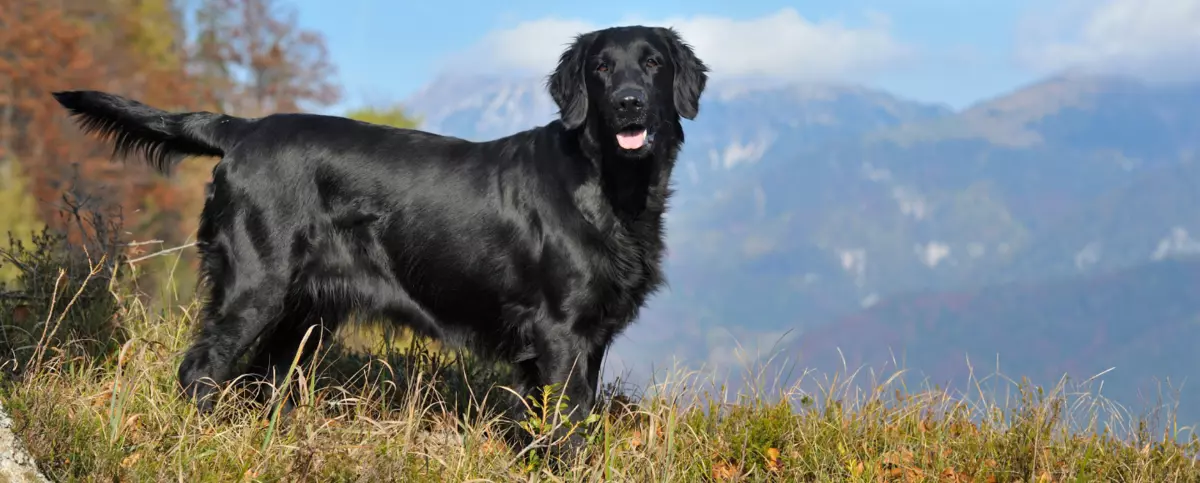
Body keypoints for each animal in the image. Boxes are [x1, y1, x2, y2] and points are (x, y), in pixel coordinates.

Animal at [56, 25, 705, 449]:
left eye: (653, 64)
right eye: (601, 67)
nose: (629, 104)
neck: (610, 186)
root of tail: (242, 130)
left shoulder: (589, 338)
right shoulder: (560, 333)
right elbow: (567, 430)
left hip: (303, 315)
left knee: (259, 380)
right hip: (255, 288)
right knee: (200, 370)